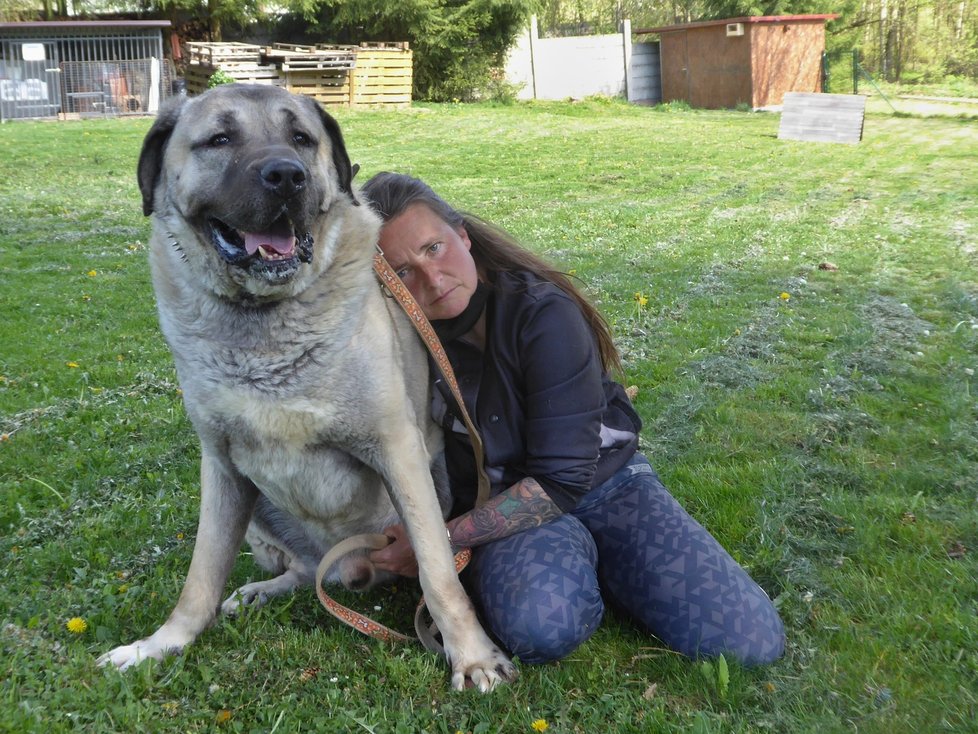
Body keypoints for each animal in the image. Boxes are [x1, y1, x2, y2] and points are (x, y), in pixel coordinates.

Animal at [95, 86, 516, 696]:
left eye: (301, 138)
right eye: (219, 139)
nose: (286, 176)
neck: (265, 322)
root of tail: (340, 566)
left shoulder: (399, 451)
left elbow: (441, 576)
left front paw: (473, 657)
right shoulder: (221, 465)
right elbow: (201, 577)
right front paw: (161, 645)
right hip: (260, 511)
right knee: (298, 568)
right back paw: (264, 589)